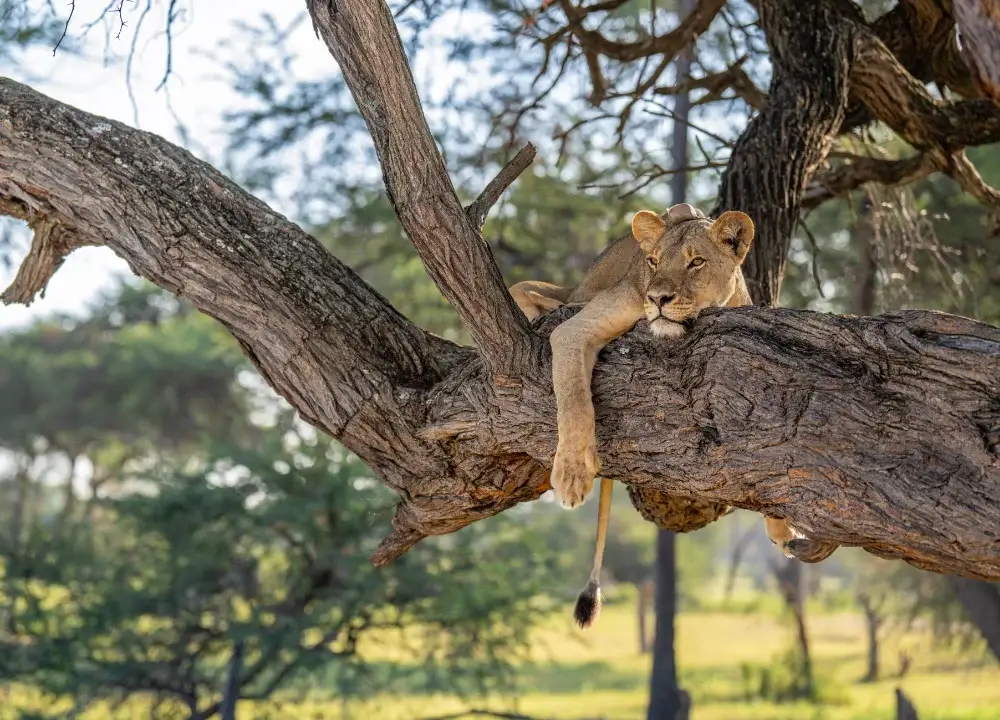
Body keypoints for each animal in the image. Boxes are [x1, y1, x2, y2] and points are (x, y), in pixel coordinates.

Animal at [509, 203, 838, 629]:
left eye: (696, 262)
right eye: (652, 262)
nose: (658, 298)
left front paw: (781, 527)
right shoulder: (573, 331)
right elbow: (574, 398)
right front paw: (572, 474)